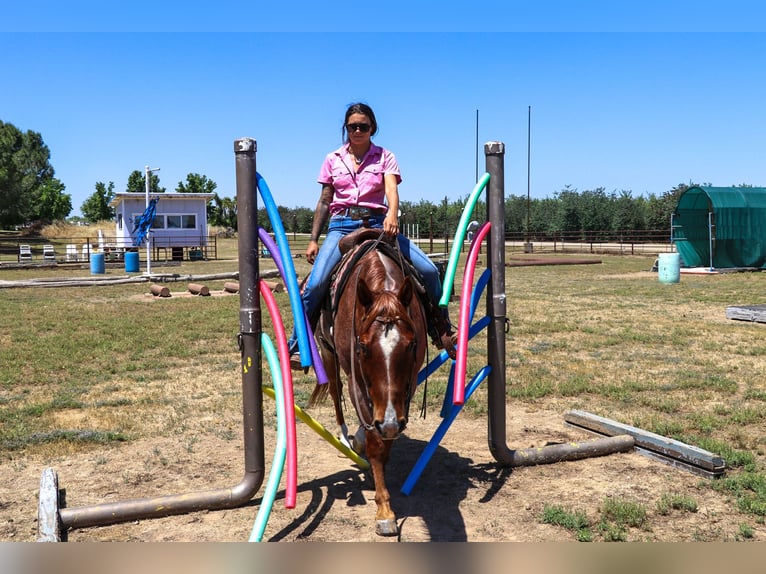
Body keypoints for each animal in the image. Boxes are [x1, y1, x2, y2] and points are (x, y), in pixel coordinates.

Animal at [312, 231, 432, 540]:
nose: (387, 421)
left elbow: (385, 439)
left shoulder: (406, 386)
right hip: (327, 353)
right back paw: (345, 436)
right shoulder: (358, 381)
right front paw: (384, 512)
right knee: (335, 393)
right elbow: (377, 444)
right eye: (363, 347)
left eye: (411, 345)